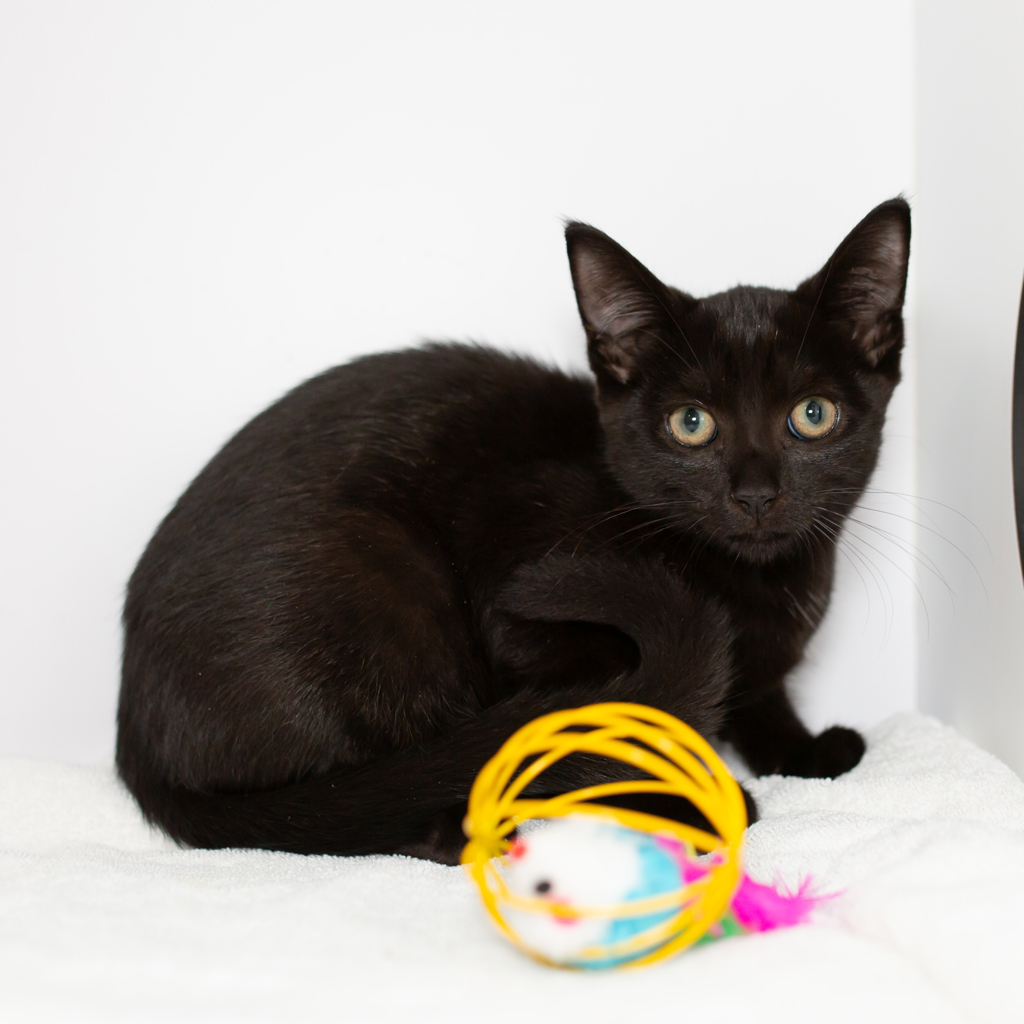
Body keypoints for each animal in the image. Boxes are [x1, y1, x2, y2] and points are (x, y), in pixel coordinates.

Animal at [117, 198, 910, 864]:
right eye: (691, 424)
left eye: (812, 415)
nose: (755, 495)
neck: (753, 588)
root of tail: (135, 742)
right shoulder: (517, 567)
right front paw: (691, 797)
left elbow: (757, 700)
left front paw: (803, 749)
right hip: (389, 587)